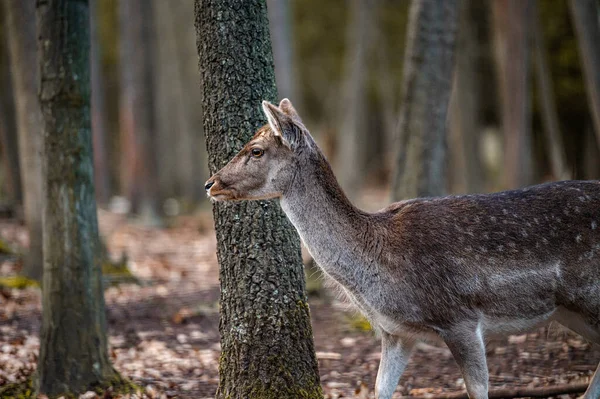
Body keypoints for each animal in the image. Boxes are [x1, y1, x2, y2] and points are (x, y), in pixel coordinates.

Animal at [206, 99, 600, 399]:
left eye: (256, 150)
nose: (211, 183)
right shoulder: (396, 333)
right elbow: (380, 389)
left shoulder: (459, 317)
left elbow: (478, 390)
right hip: (570, 312)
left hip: (588, 297)